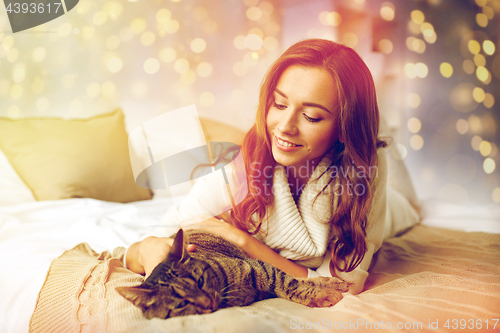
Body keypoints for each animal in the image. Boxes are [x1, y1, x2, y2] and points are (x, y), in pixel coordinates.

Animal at [116, 228, 350, 320]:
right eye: (182, 304)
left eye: (200, 281)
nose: (207, 302)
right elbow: (291, 283)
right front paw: (321, 291)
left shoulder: (261, 268)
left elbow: (288, 283)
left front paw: (322, 292)